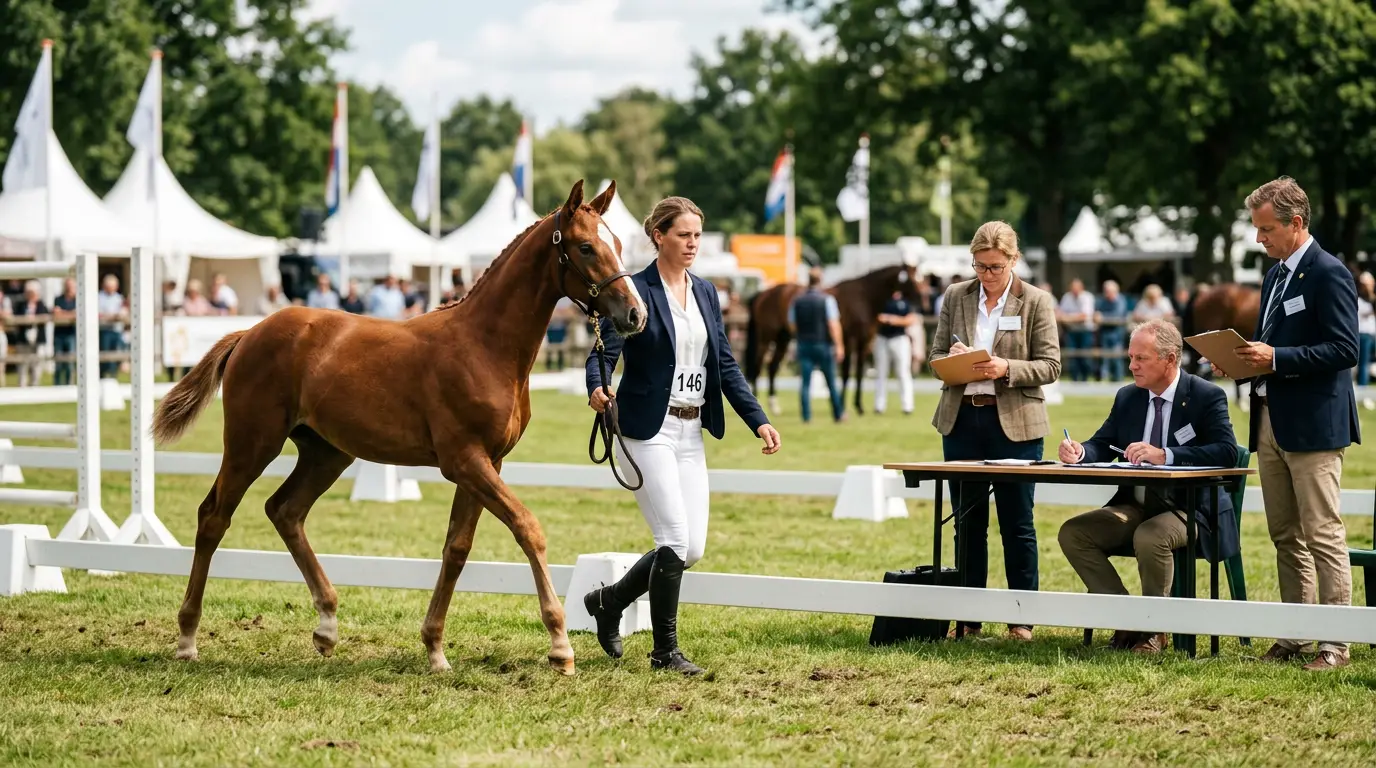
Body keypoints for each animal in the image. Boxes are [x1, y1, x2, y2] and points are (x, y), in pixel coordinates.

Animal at [149, 180, 646, 676]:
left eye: (621, 245)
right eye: (585, 247)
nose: (635, 315)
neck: (484, 346)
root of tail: (249, 333)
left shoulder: (488, 462)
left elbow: (457, 547)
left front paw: (435, 648)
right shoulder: (464, 461)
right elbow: (527, 528)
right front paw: (560, 645)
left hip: (326, 452)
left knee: (285, 510)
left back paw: (327, 626)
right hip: (252, 442)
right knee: (214, 516)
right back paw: (187, 638)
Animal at [744, 264, 919, 415]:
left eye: (920, 277)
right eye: (911, 280)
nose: (921, 299)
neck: (864, 297)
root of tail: (764, 293)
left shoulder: (865, 341)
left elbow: (859, 373)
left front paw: (858, 406)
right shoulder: (849, 339)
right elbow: (847, 372)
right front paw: (843, 405)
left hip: (783, 339)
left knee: (772, 367)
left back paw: (774, 405)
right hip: (766, 337)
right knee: (758, 365)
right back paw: (757, 398)